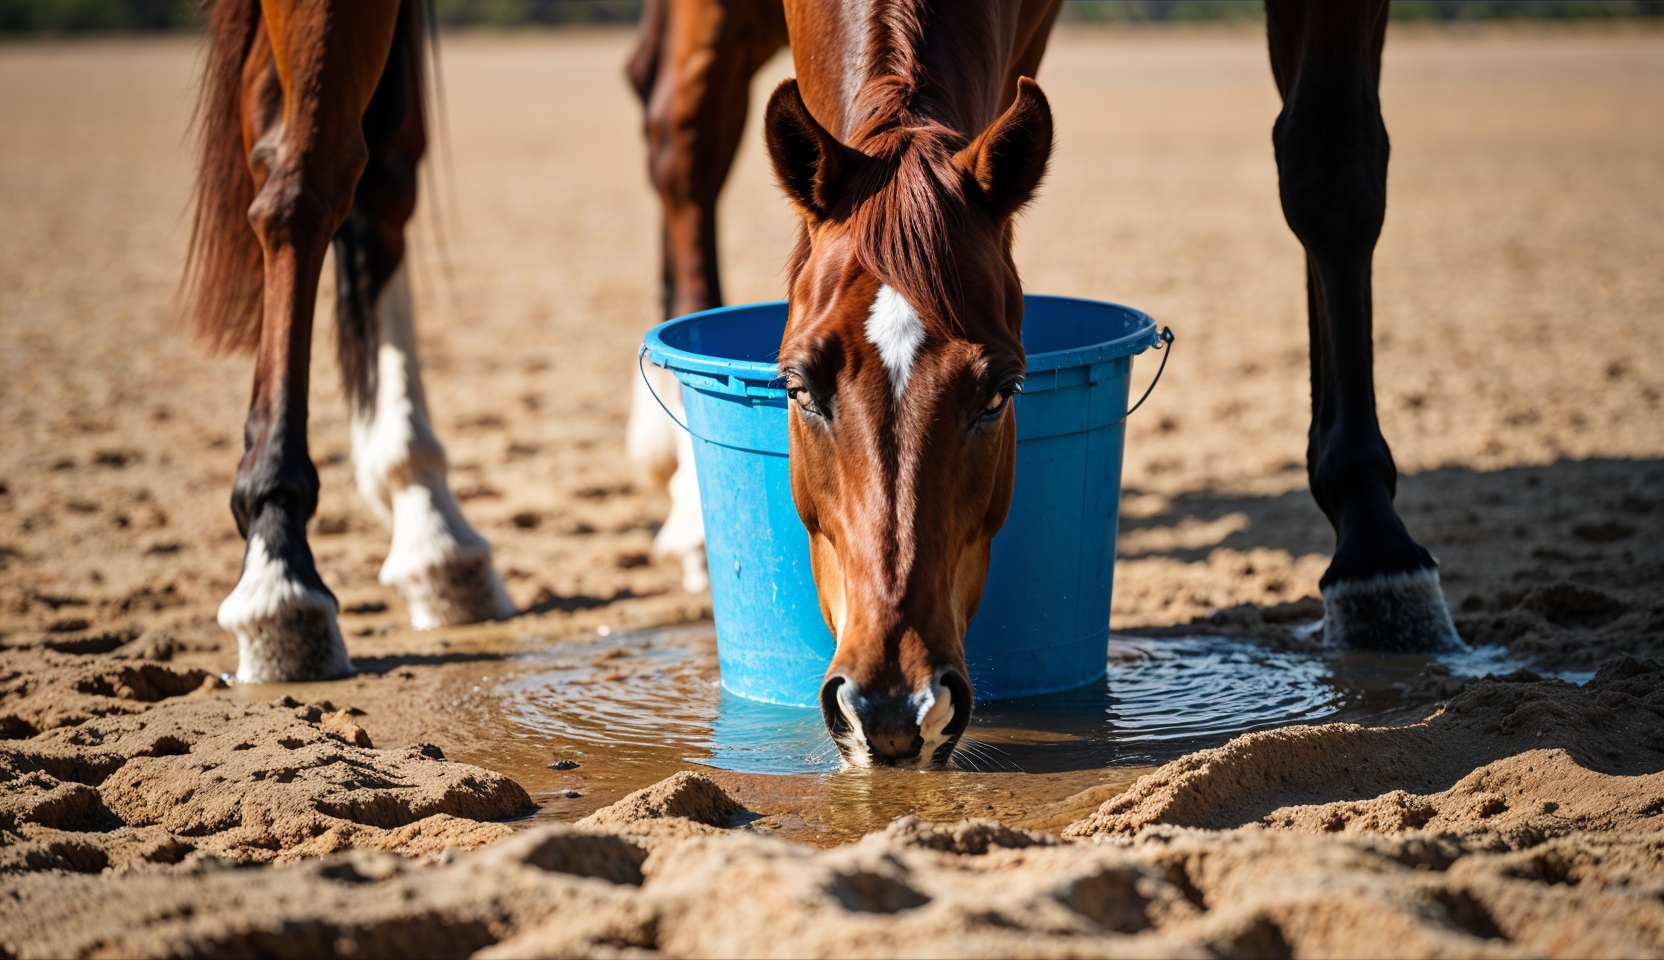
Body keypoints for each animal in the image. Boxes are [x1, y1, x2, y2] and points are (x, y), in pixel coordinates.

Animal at [628, 0, 1461, 767]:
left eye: (1000, 393)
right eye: (798, 387)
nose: (892, 708)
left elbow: (1332, 168)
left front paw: (1377, 554)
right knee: (682, 133)